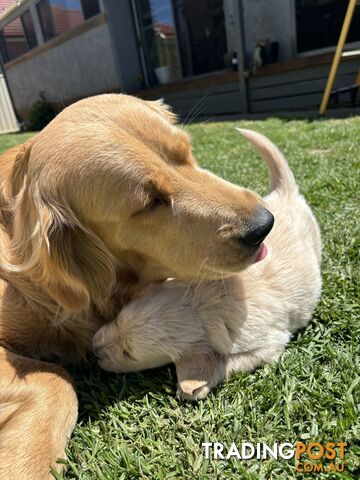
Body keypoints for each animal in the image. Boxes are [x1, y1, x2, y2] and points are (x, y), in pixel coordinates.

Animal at [92, 129, 320, 400]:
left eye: (129, 354)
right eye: (118, 320)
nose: (93, 351)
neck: (206, 304)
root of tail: (283, 192)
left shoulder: (269, 344)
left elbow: (230, 361)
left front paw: (193, 387)